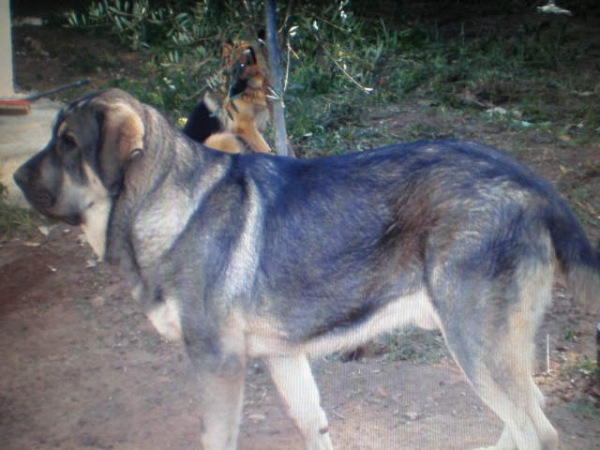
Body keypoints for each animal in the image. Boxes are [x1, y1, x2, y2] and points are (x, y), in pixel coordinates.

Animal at [14, 89, 600, 450]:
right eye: (54, 138)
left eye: (68, 143)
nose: (15, 178)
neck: (163, 201)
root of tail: (533, 183)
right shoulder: (284, 359)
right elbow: (313, 426)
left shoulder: (218, 364)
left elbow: (217, 437)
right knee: (527, 417)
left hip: (476, 347)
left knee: (538, 431)